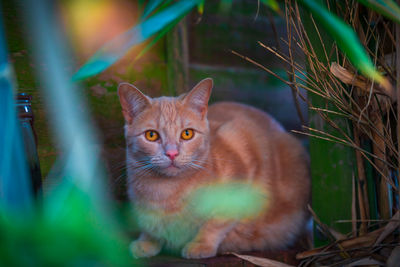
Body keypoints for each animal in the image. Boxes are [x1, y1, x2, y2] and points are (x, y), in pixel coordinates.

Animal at [117, 78, 310, 260]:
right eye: (151, 135)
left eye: (187, 134)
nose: (172, 153)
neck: (165, 191)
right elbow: (150, 226)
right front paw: (147, 241)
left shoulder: (242, 147)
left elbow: (217, 221)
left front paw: (201, 244)